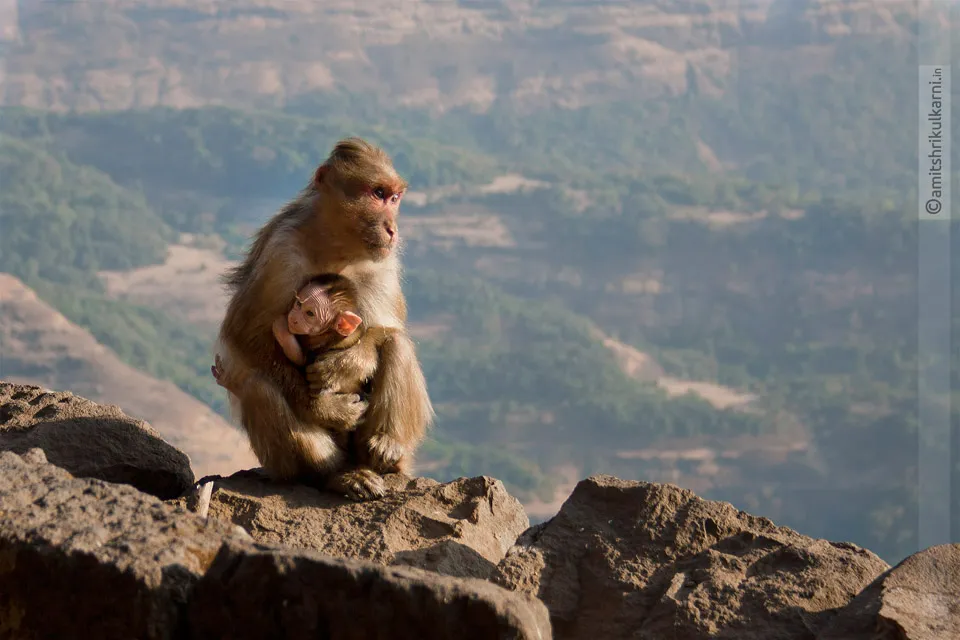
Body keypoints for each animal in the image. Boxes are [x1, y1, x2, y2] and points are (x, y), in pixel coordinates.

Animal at [214, 137, 434, 501]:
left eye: (394, 197)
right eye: (377, 193)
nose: (392, 228)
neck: (335, 247)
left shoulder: (384, 262)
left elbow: (389, 328)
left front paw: (350, 363)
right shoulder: (281, 253)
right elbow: (245, 334)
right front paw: (326, 410)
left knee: (397, 345)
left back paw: (386, 450)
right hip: (285, 465)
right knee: (259, 386)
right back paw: (336, 475)